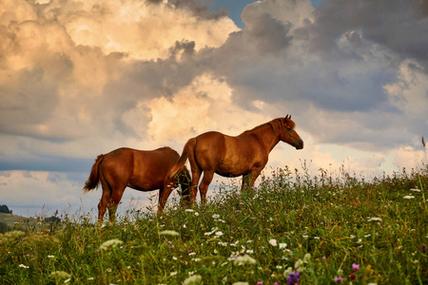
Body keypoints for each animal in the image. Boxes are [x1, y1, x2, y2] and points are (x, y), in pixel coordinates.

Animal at [165, 115, 304, 204]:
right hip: (209, 171)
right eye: (289, 129)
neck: (258, 141)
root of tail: (195, 139)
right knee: (203, 188)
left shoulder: (245, 173)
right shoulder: (255, 171)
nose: (301, 143)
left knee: (193, 189)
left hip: (197, 170)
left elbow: (243, 191)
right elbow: (249, 190)